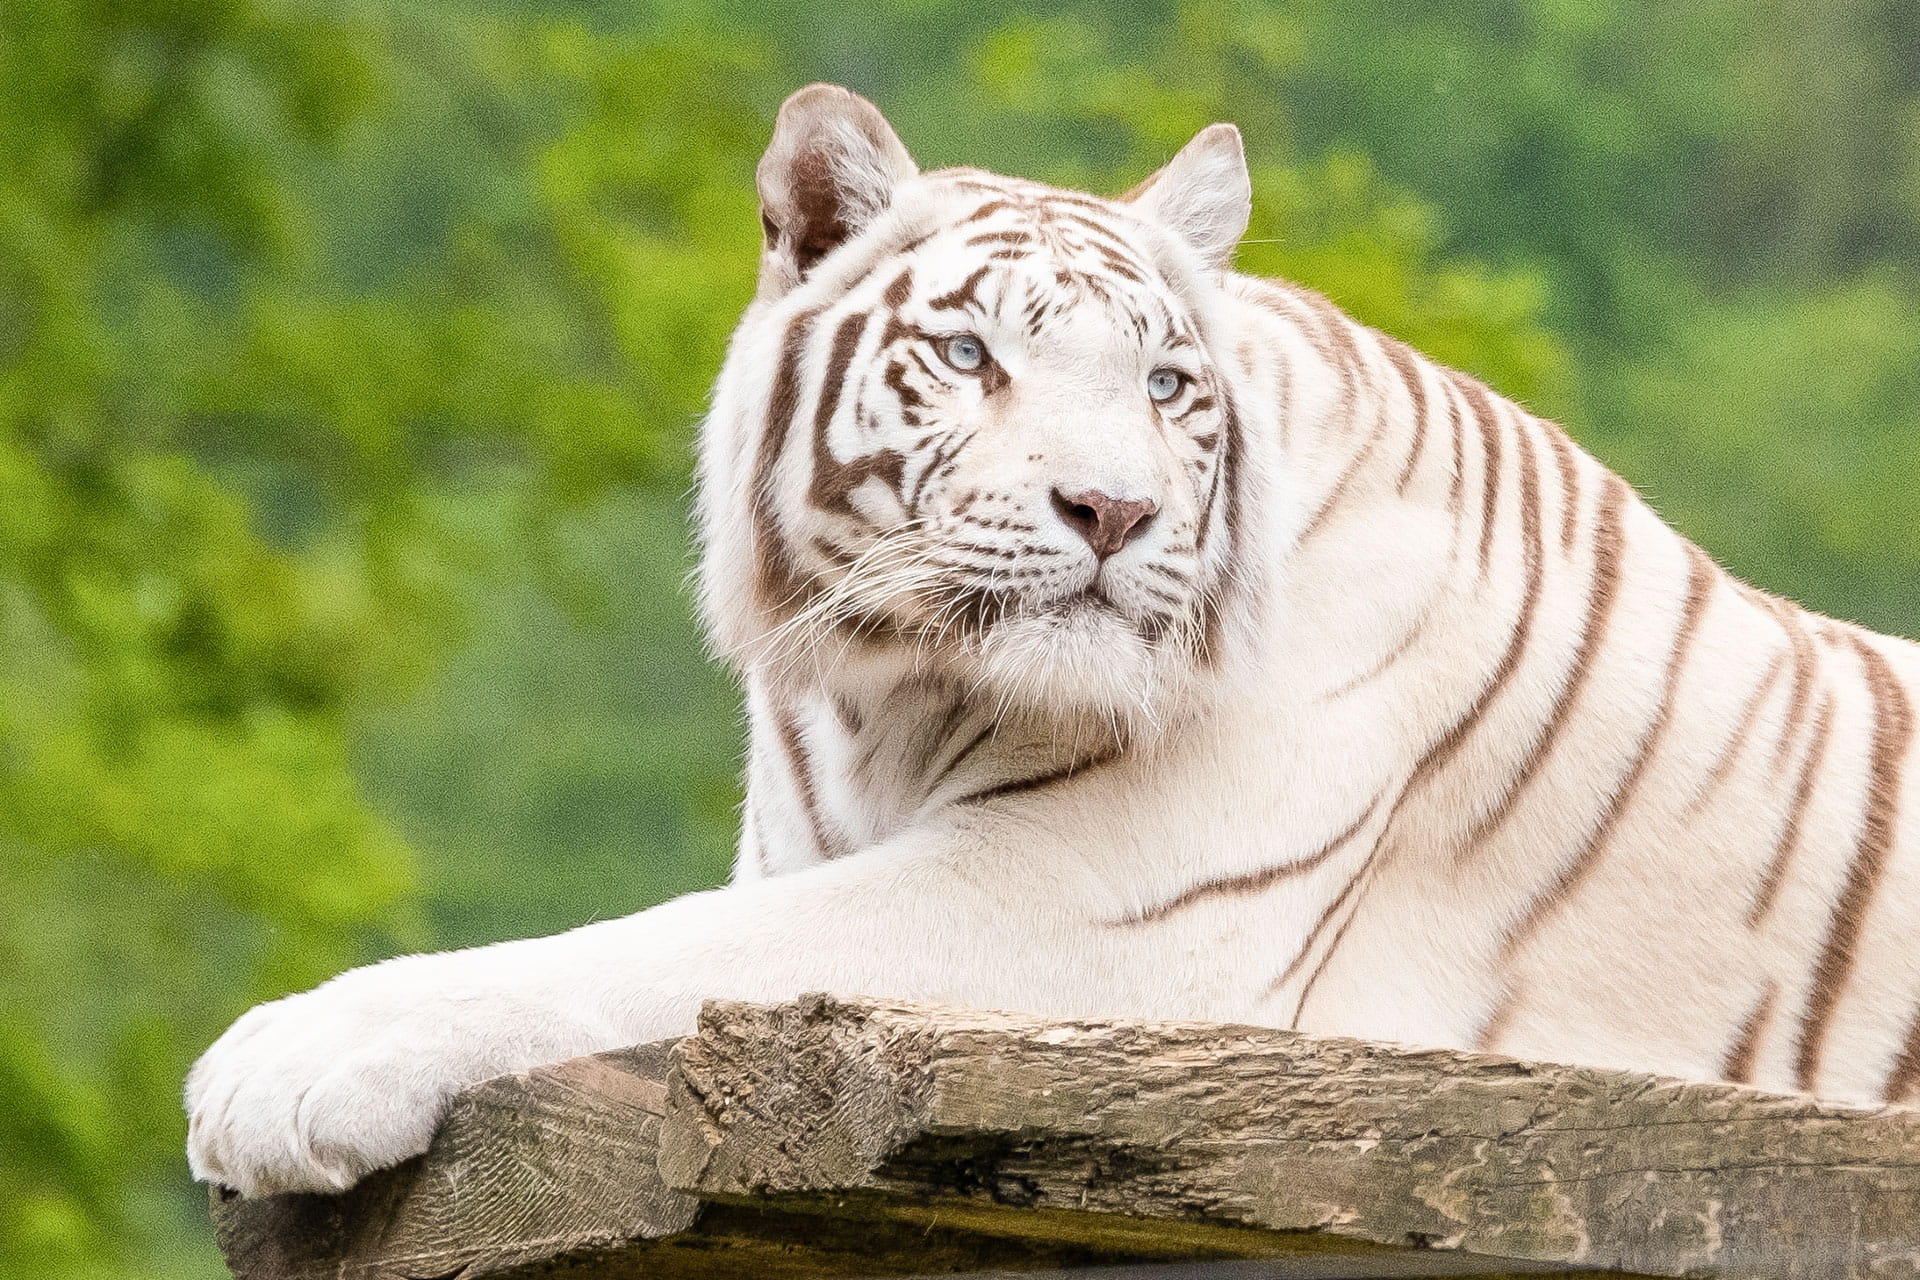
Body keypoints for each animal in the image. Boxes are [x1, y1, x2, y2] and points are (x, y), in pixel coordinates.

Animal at [187, 83, 1920, 1198]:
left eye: (1166, 385)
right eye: (968, 357)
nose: (1115, 510)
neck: (889, 700)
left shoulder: (1087, 917)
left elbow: (641, 952)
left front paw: (287, 1064)